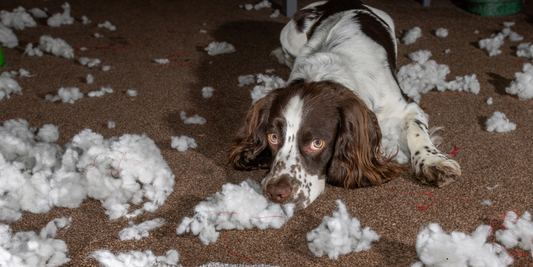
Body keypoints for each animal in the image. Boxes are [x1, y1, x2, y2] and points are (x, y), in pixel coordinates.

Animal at [227, 0, 460, 211]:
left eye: (317, 143)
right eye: (273, 137)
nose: (276, 192)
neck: (325, 75)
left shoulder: (406, 106)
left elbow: (417, 132)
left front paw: (433, 163)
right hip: (290, 36)